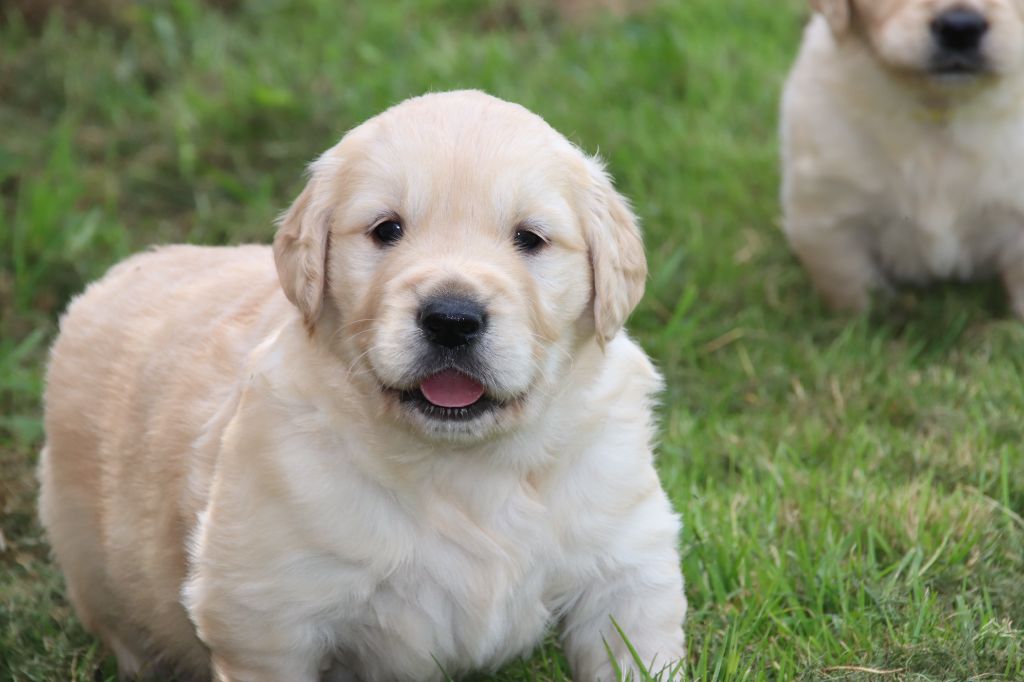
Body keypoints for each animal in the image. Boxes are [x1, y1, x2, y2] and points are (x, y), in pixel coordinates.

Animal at [37, 91, 688, 679]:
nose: (452, 318)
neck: (466, 466)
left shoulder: (627, 568)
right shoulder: (267, 616)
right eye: (387, 230)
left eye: (530, 238)